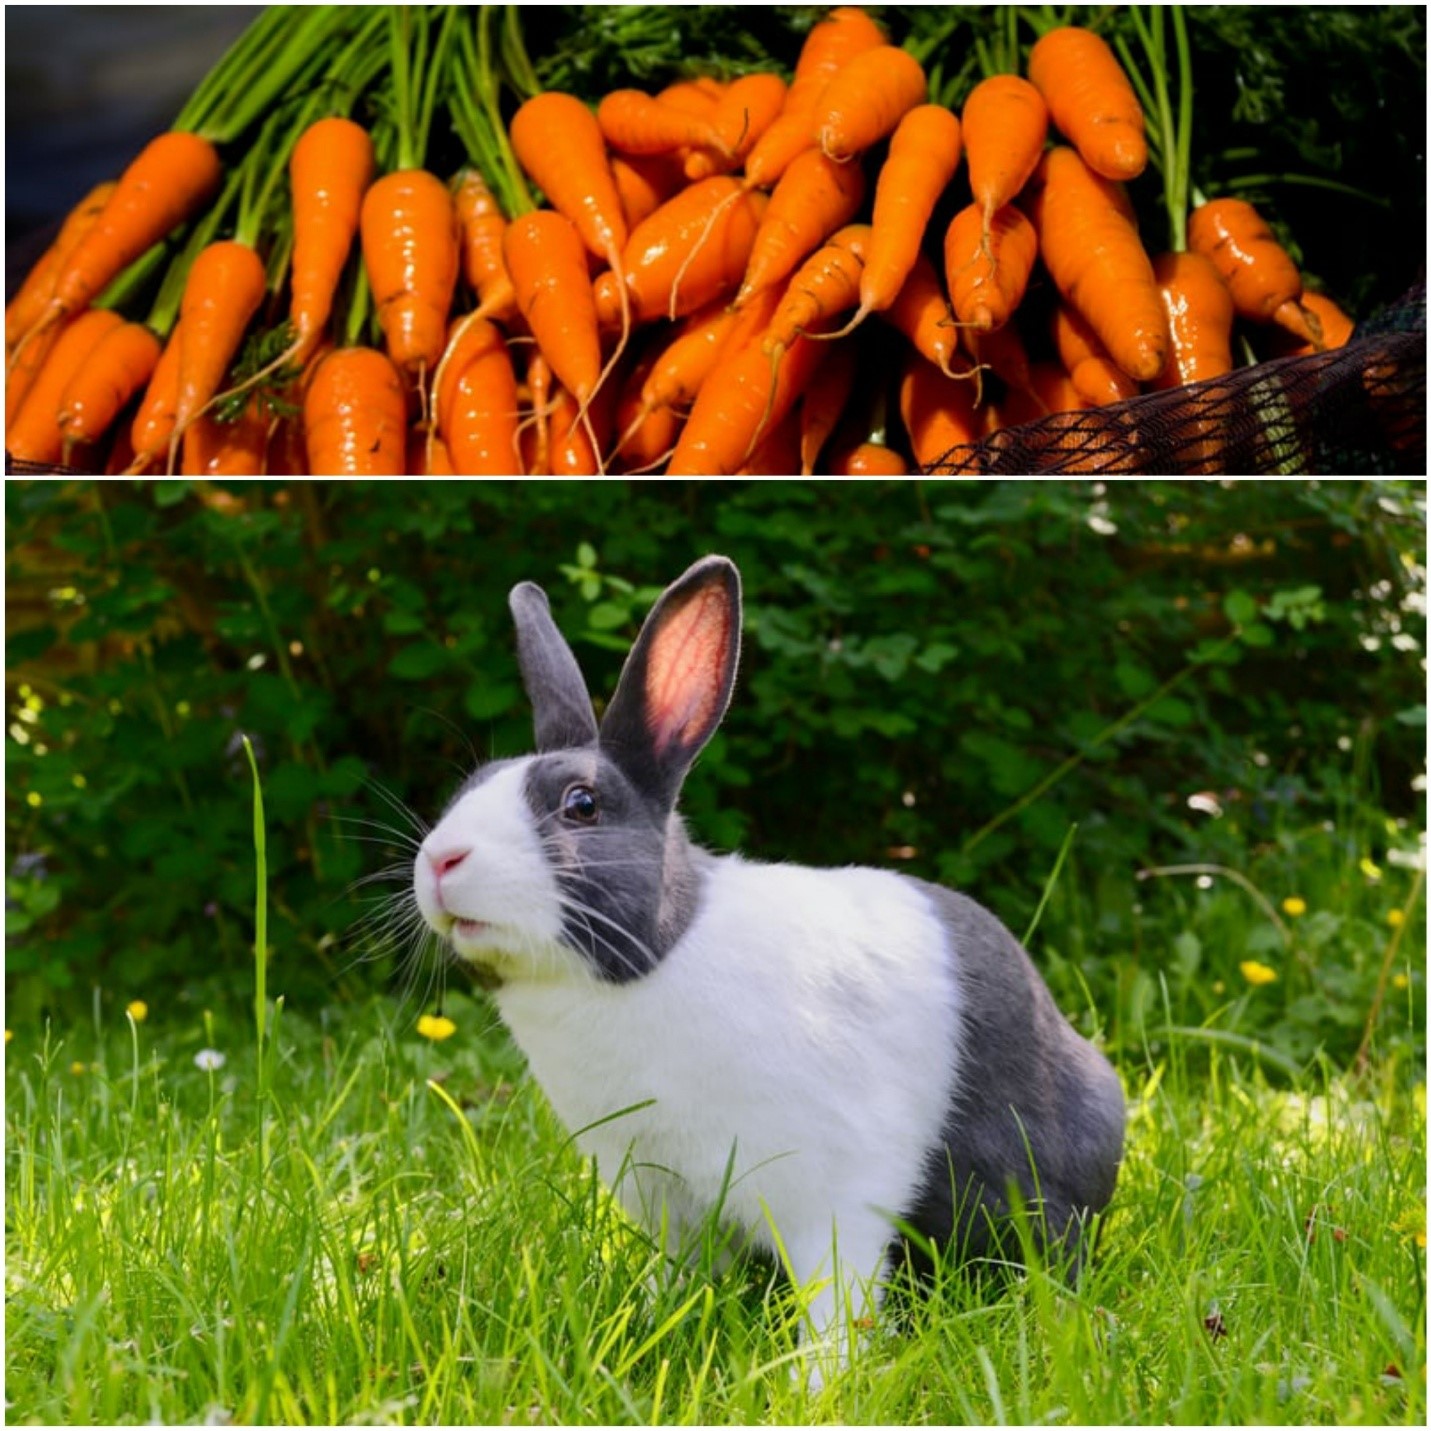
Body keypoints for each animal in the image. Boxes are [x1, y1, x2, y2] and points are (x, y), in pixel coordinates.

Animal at [412, 554, 1125, 1376]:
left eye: (581, 805)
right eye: (470, 787)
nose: (440, 860)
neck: (656, 960)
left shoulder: (831, 1192)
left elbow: (837, 1298)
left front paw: (819, 1384)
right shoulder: (667, 1197)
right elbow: (678, 1278)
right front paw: (641, 1334)